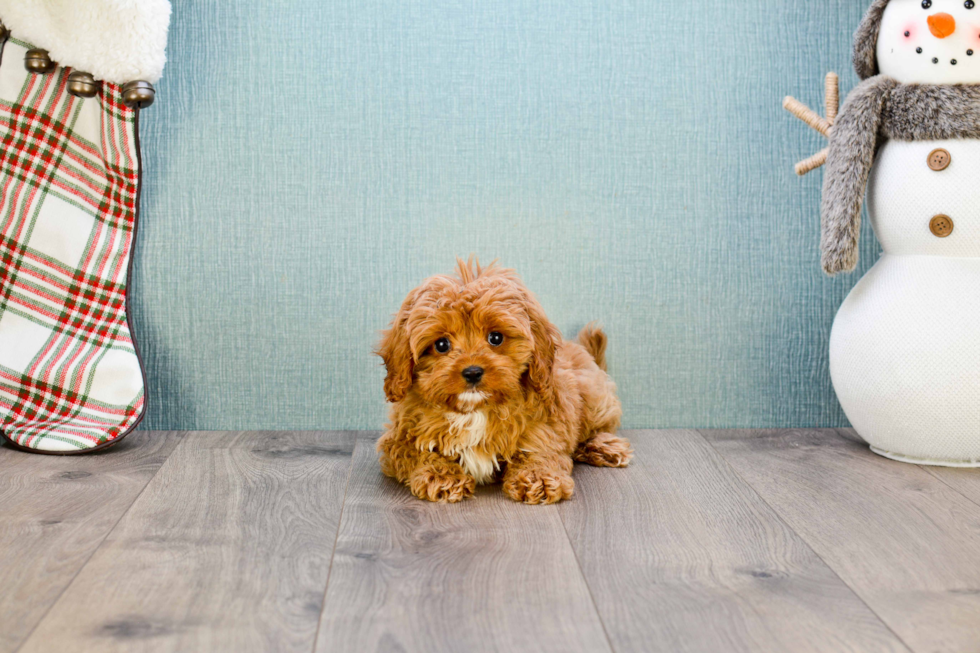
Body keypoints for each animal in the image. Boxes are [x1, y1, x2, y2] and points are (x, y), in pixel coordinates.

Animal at [376, 260, 628, 504]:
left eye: (495, 337)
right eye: (441, 344)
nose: (472, 372)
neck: (473, 411)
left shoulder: (546, 425)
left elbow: (540, 450)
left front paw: (539, 477)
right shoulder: (398, 439)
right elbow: (417, 452)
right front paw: (441, 476)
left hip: (594, 396)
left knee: (602, 424)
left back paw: (603, 446)